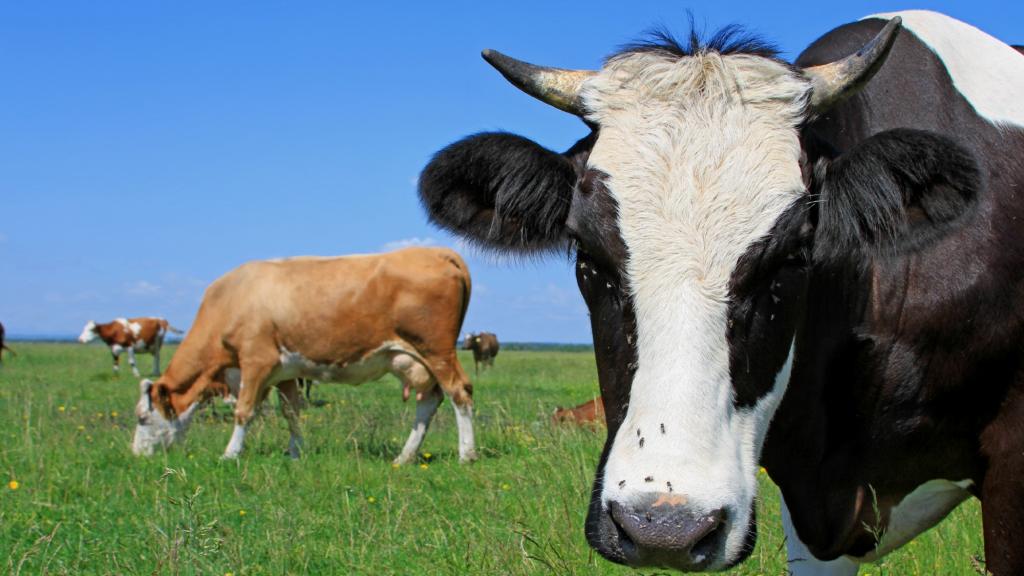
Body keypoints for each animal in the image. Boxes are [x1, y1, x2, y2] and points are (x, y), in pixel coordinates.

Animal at [130, 247, 478, 463]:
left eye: (142, 417)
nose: (136, 454)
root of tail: (436, 251)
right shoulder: (285, 372)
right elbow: (292, 412)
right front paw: (295, 452)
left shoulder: (256, 361)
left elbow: (244, 411)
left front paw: (230, 454)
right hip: (420, 359)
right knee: (430, 401)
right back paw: (404, 457)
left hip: (437, 351)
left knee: (459, 393)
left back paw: (467, 454)